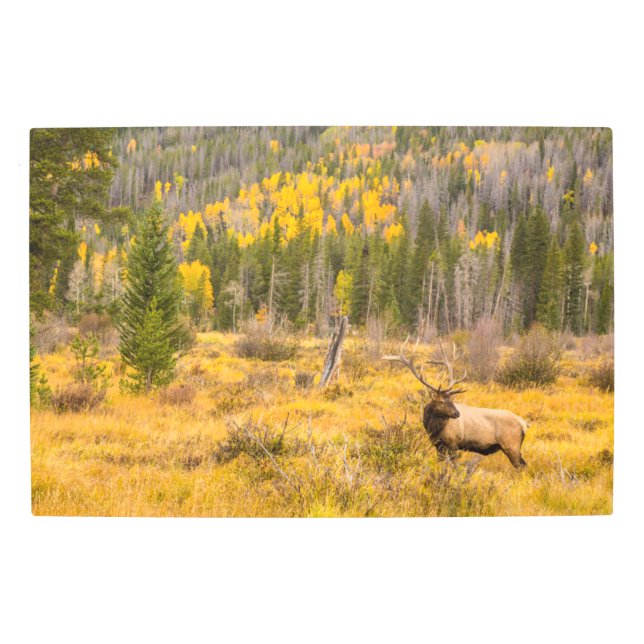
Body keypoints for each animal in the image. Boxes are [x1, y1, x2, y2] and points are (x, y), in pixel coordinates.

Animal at [383, 338, 528, 469]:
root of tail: (524, 423)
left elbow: (453, 465)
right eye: (442, 401)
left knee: (521, 466)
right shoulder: (437, 445)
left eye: (452, 400)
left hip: (511, 445)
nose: (457, 413)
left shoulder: (453, 443)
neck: (433, 428)